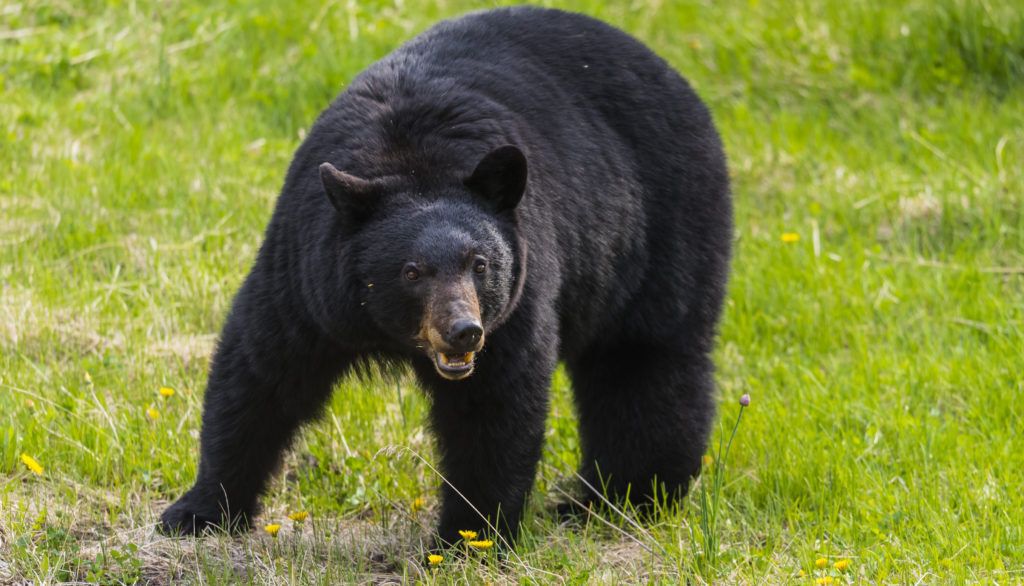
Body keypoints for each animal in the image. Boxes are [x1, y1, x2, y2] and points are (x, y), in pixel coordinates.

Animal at [160, 6, 732, 548]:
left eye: (480, 264)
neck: (411, 161)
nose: (463, 332)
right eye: (411, 271)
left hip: (661, 230)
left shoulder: (519, 297)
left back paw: (622, 499)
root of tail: (673, 75)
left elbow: (494, 408)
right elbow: (261, 375)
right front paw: (197, 512)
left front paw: (469, 536)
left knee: (645, 364)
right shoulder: (305, 273)